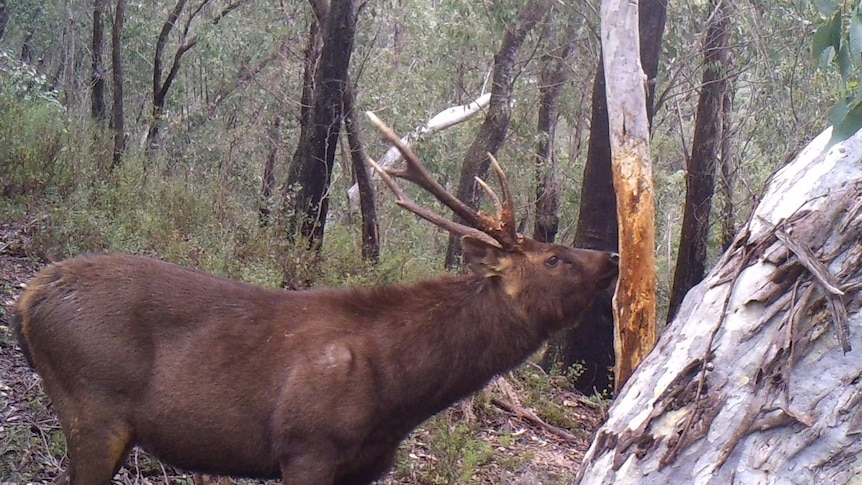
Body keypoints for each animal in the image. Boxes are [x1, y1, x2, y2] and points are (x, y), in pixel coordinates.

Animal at [15, 113, 620, 484]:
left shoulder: (365, 467)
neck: (402, 393)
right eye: (554, 258)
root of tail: (27, 298)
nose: (612, 257)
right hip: (92, 407)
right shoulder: (307, 447)